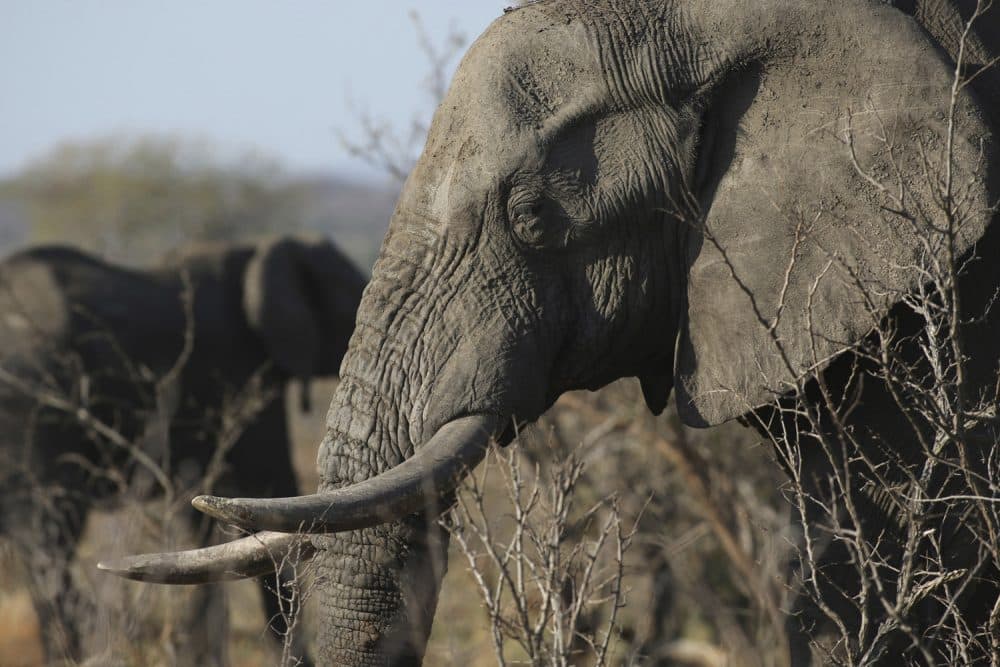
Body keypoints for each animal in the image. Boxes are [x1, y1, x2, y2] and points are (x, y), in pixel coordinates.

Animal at [0, 235, 368, 664]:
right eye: (352, 302)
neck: (256, 252)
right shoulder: (242, 372)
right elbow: (269, 486)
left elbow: (203, 518)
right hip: (32, 403)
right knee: (48, 541)